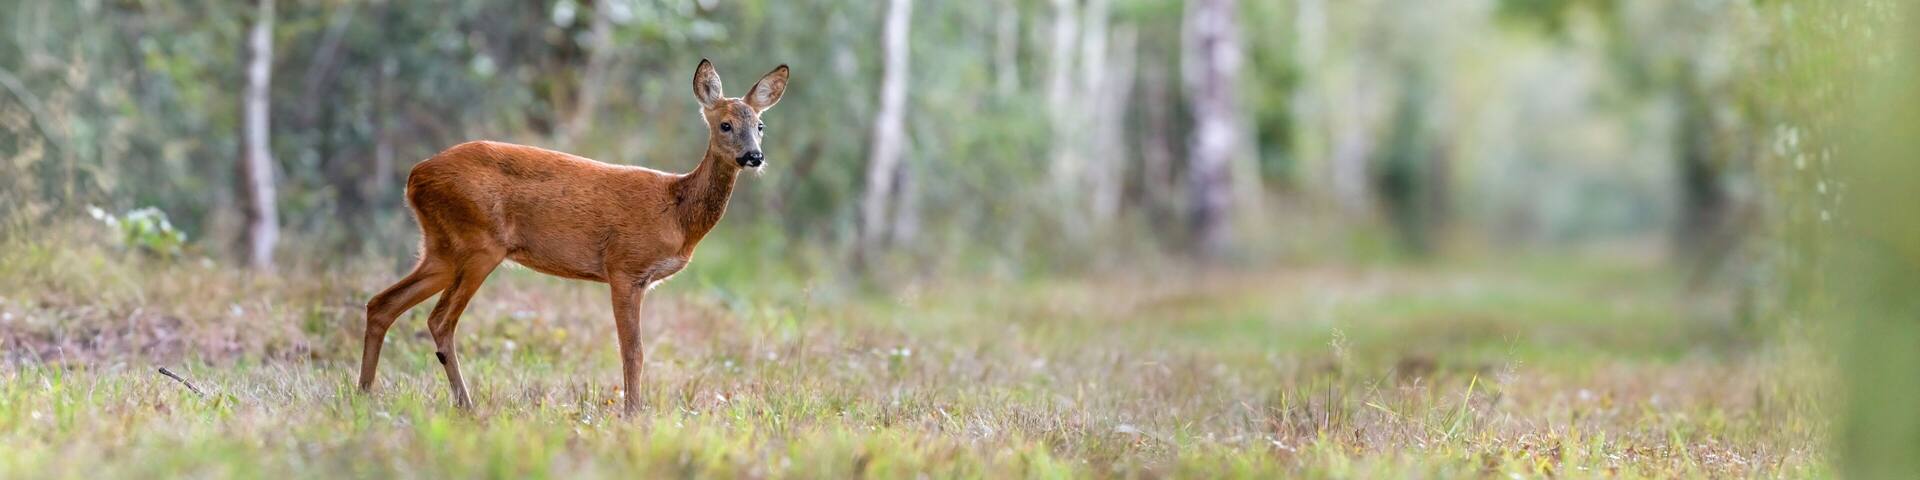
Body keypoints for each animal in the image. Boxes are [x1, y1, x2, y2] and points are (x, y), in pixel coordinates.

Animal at [357, 60, 788, 414]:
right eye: (725, 124)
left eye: (760, 125)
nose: (754, 156)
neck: (678, 212)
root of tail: (415, 177)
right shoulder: (624, 267)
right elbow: (633, 351)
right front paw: (633, 414)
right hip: (479, 243)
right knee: (439, 319)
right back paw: (465, 405)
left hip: (441, 249)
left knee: (381, 303)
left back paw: (365, 395)